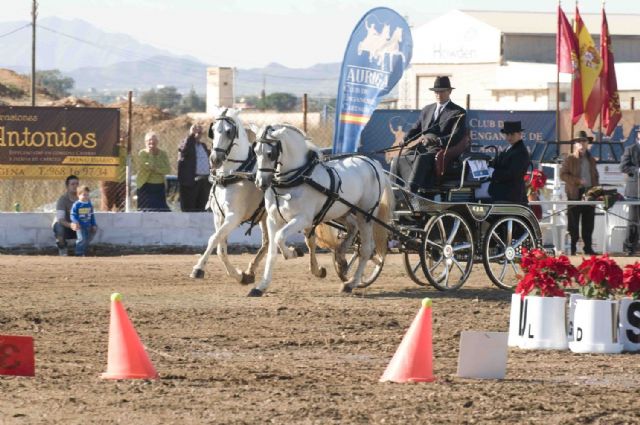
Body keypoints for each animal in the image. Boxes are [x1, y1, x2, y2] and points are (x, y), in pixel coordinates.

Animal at [190, 108, 329, 284]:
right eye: (213, 130)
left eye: (229, 131)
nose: (215, 159)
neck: (232, 174)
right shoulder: (218, 216)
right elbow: (221, 247)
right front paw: (239, 275)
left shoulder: (233, 216)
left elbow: (213, 239)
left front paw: (198, 268)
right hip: (266, 217)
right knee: (268, 242)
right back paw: (252, 269)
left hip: (303, 216)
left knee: (309, 242)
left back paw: (316, 269)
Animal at [249, 124, 395, 297]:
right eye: (255, 151)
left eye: (270, 154)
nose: (260, 183)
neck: (296, 178)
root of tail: (374, 163)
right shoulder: (273, 219)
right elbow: (272, 250)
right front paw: (261, 286)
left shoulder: (303, 219)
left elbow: (280, 237)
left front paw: (294, 252)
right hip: (341, 211)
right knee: (352, 228)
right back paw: (341, 258)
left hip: (365, 214)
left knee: (366, 249)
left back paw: (351, 283)